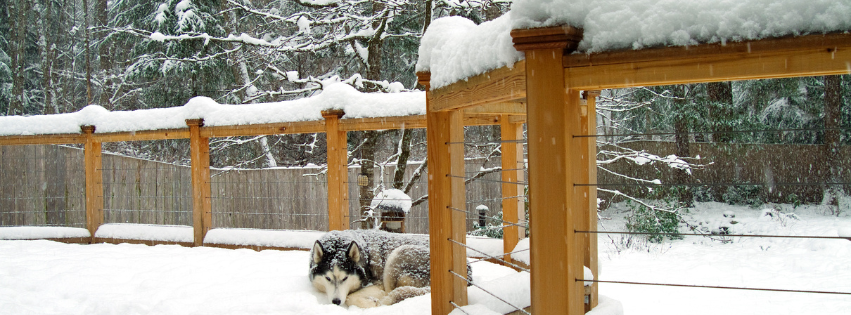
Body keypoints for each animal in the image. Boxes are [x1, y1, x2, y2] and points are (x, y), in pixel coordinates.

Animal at [308, 230, 472, 308]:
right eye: (328, 278)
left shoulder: (377, 283)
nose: (336, 302)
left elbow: (349, 297)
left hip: (398, 254)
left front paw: (371, 303)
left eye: (345, 278)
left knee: (391, 293)